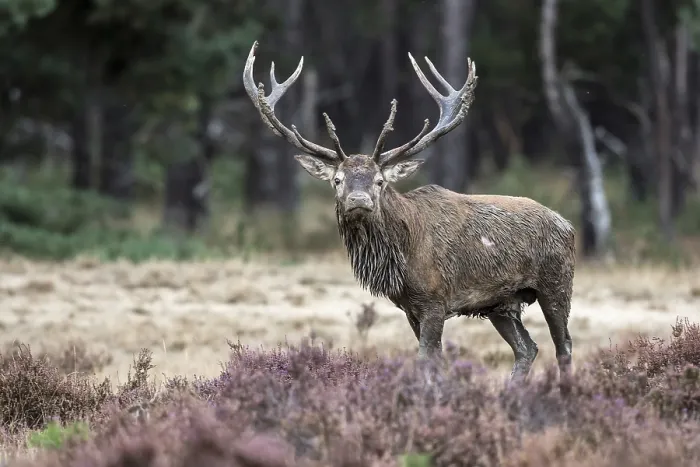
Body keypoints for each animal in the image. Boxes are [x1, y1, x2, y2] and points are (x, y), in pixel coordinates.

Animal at [242, 41, 576, 383]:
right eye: (338, 180)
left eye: (380, 181)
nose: (358, 200)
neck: (401, 259)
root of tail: (567, 224)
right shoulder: (409, 307)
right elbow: (436, 360)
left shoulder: (435, 299)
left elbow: (426, 360)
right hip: (500, 303)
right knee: (527, 348)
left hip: (557, 282)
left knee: (563, 345)